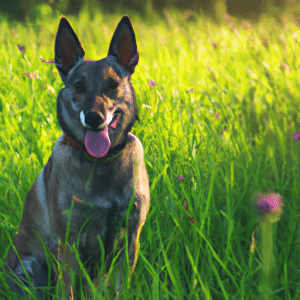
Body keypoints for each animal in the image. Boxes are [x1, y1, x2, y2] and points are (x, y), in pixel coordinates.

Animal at [4, 16, 150, 300]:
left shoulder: (130, 236)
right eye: (79, 87)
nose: (93, 118)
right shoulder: (68, 241)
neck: (101, 163)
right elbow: (67, 289)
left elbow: (121, 284)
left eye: (113, 85)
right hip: (29, 265)